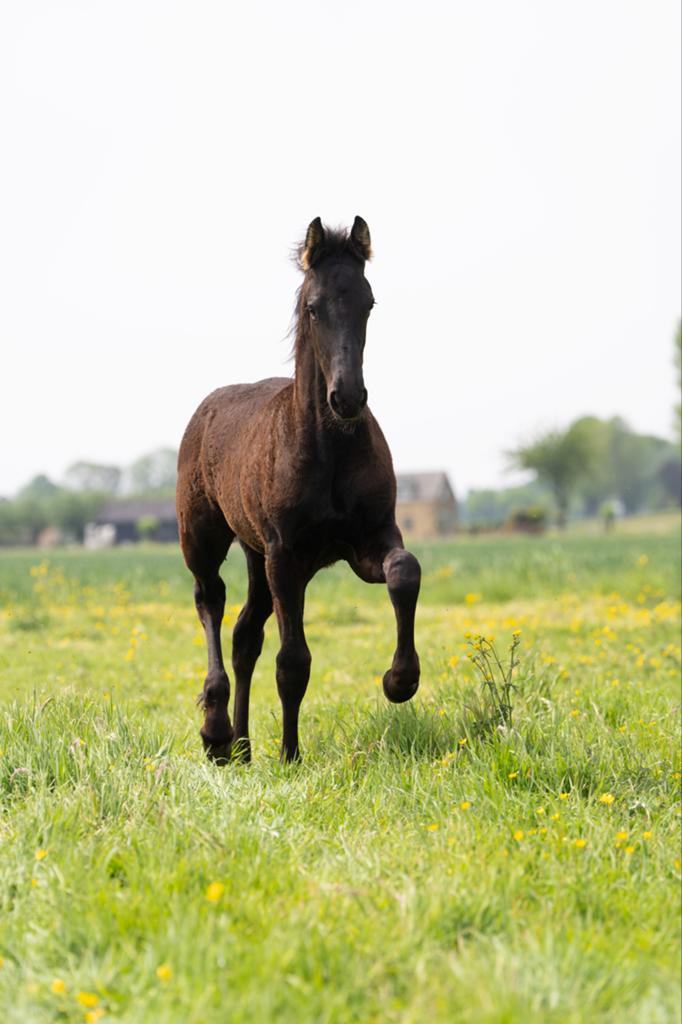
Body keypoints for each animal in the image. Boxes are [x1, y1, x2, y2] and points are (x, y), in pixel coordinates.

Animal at [176, 216, 421, 763]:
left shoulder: (367, 541)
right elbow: (293, 660)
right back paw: (217, 733)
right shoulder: (285, 553)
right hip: (207, 538)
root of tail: (204, 409)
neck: (329, 448)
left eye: (368, 302)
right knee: (211, 601)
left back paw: (243, 746)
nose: (347, 397)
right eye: (313, 306)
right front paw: (290, 755)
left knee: (246, 633)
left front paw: (400, 680)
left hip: (257, 556)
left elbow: (404, 571)